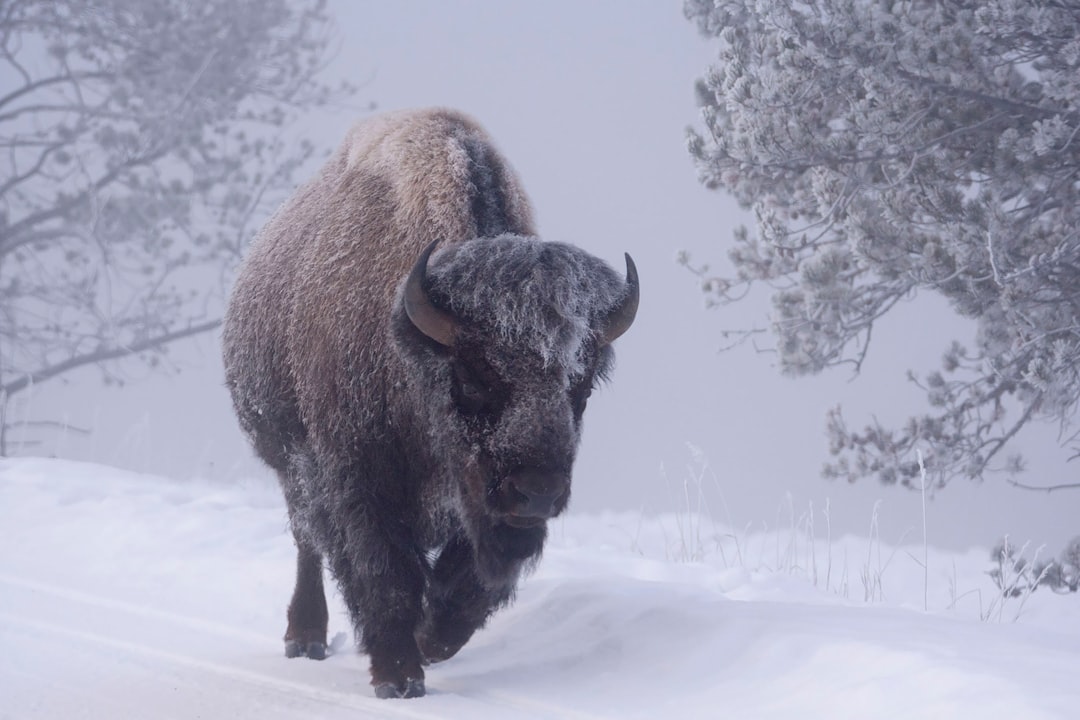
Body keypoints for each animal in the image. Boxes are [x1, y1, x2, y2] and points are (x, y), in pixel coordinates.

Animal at [222, 108, 638, 698]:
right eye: (473, 375)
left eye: (580, 384)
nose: (537, 491)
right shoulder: (361, 483)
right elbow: (384, 575)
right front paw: (399, 676)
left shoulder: (483, 509)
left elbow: (468, 585)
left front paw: (429, 640)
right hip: (288, 463)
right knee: (308, 542)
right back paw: (305, 637)